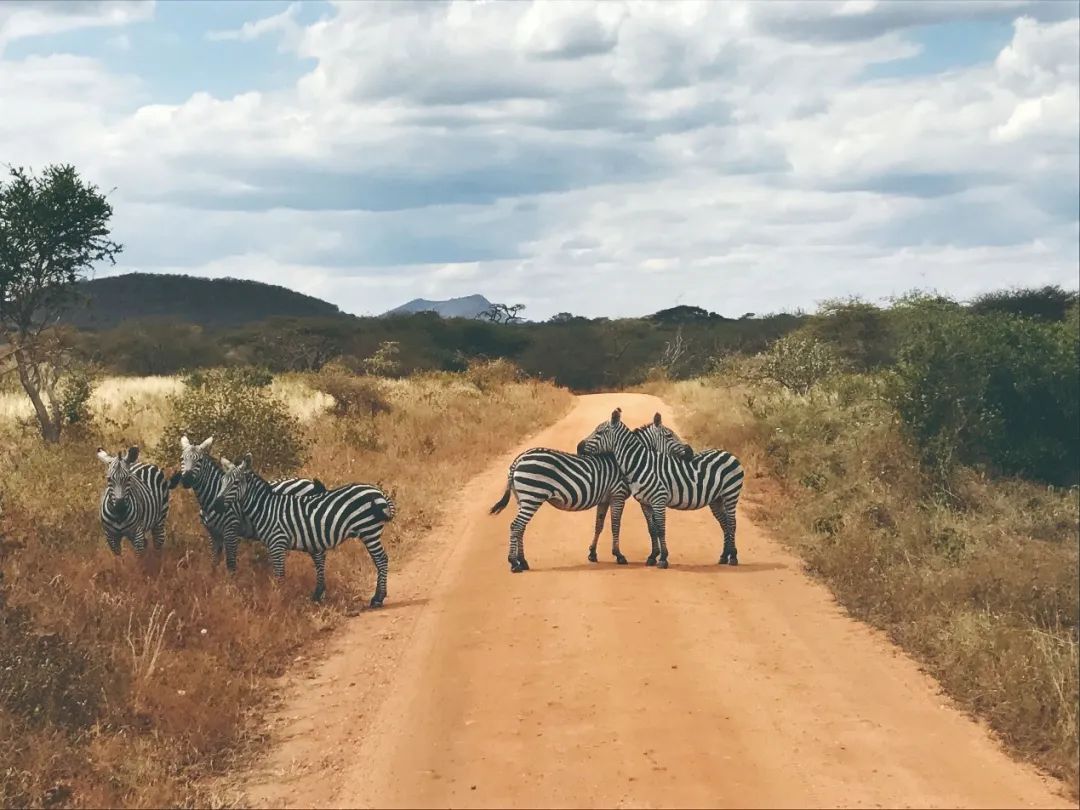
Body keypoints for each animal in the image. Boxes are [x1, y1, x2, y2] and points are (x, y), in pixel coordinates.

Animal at [171, 438, 324, 570]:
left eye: (200, 460)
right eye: (181, 459)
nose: (186, 480)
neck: (211, 496)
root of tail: (310, 482)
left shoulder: (231, 531)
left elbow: (230, 564)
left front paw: (231, 584)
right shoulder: (213, 533)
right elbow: (214, 562)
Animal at [210, 453, 397, 604]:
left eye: (235, 483)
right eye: (222, 482)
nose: (216, 505)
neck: (266, 508)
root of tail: (378, 491)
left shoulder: (277, 543)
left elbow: (279, 575)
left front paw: (280, 600)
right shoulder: (274, 545)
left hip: (369, 530)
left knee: (381, 559)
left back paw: (378, 598)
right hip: (370, 531)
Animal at [490, 408, 691, 574]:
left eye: (599, 432)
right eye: (670, 435)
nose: (690, 452)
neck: (629, 460)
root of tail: (518, 459)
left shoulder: (604, 498)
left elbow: (599, 525)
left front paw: (593, 554)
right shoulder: (617, 495)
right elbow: (615, 524)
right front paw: (618, 555)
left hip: (523, 498)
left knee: (520, 528)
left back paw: (523, 562)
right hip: (532, 495)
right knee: (516, 526)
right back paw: (514, 563)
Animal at [578, 408, 747, 565]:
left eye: (599, 432)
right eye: (669, 436)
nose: (579, 447)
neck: (641, 463)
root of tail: (728, 453)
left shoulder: (658, 499)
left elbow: (660, 528)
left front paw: (663, 558)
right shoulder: (645, 502)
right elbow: (652, 529)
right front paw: (653, 556)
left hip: (731, 494)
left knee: (732, 524)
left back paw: (733, 557)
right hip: (716, 500)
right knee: (725, 524)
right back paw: (724, 556)